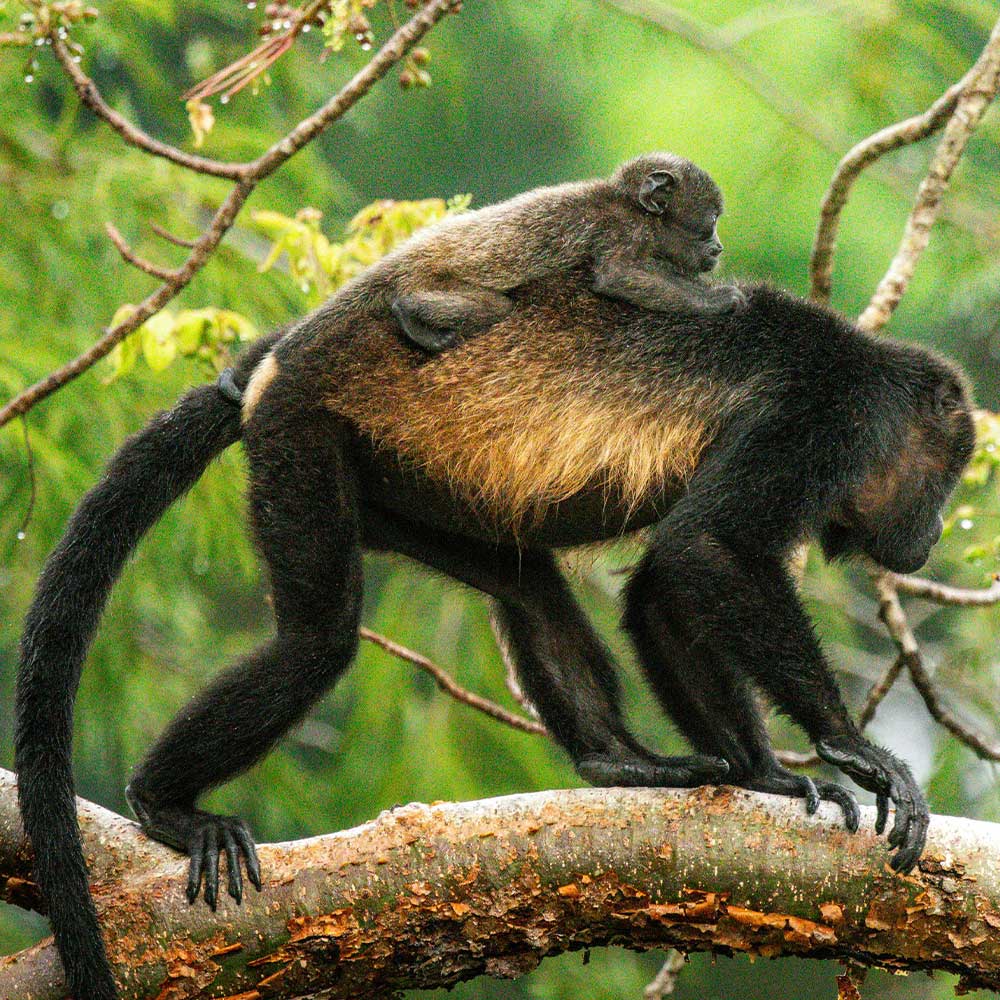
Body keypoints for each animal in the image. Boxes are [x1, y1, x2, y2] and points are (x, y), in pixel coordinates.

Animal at [15, 272, 974, 999]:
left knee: (527, 581)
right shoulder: (820, 418)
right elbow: (706, 547)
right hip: (299, 434)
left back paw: (616, 760)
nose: (930, 535)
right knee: (317, 640)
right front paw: (850, 747)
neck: (869, 383)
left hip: (403, 484)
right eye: (946, 479)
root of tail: (282, 366)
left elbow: (664, 581)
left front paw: (765, 773)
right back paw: (165, 803)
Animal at [337, 152, 743, 354]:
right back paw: (407, 312)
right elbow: (618, 276)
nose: (718, 247)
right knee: (495, 308)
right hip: (433, 277)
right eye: (711, 221)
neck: (633, 208)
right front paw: (720, 300)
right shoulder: (623, 231)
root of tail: (411, 253)